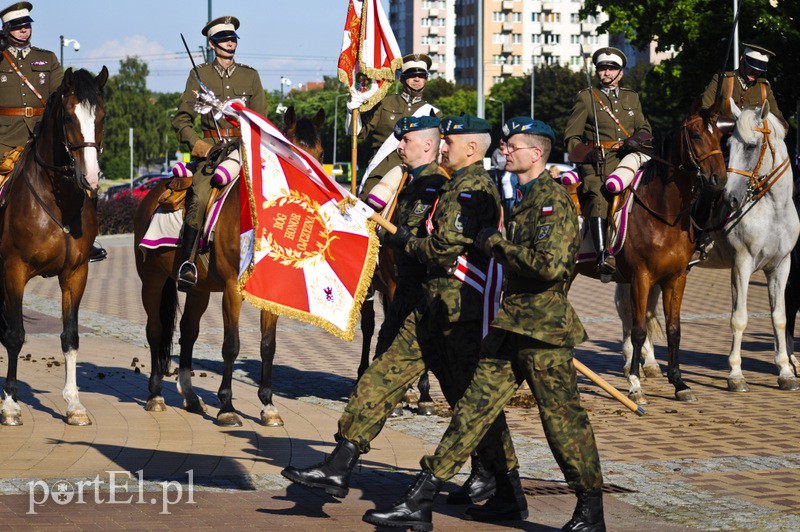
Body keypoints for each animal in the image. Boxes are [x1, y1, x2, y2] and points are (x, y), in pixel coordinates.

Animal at [0, 67, 108, 424]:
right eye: (68, 116)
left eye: (102, 116)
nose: (91, 178)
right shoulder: (13, 271)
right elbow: (15, 335)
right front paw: (10, 404)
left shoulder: (75, 273)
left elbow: (70, 336)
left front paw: (74, 403)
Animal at [133, 106, 324, 426]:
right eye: (289, 155)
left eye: (320, 153)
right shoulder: (233, 290)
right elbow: (231, 345)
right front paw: (227, 406)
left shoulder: (268, 295)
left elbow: (268, 346)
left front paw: (268, 405)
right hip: (152, 281)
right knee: (156, 330)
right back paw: (155, 395)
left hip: (198, 289)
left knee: (188, 331)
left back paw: (190, 396)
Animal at [608, 106, 728, 404]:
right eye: (695, 135)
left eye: (721, 136)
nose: (719, 180)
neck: (664, 214)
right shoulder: (640, 277)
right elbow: (639, 330)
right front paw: (635, 385)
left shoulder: (675, 278)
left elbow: (674, 330)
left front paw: (679, 382)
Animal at [620, 102, 800, 394]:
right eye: (729, 146)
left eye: (751, 146)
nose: (731, 197)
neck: (772, 208)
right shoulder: (742, 264)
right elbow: (739, 317)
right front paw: (736, 374)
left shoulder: (782, 266)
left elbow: (780, 317)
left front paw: (785, 371)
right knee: (628, 310)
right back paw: (630, 364)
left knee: (646, 311)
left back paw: (650, 364)